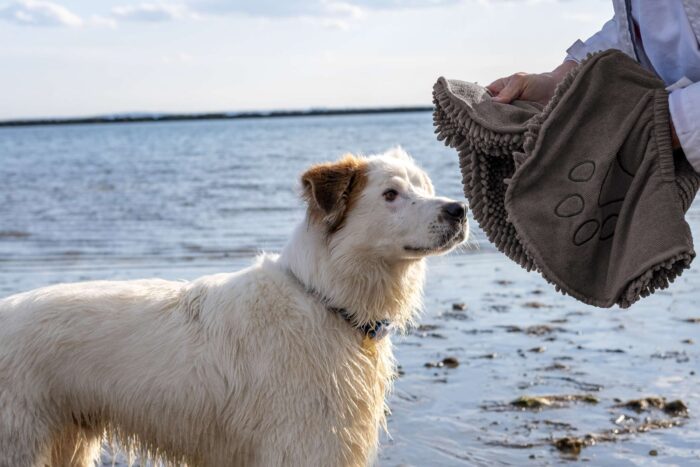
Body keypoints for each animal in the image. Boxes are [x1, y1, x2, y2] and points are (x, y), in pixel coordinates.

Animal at [1, 149, 470, 467]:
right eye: (391, 194)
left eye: (425, 188)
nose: (459, 209)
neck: (323, 297)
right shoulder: (301, 442)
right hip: (18, 441)